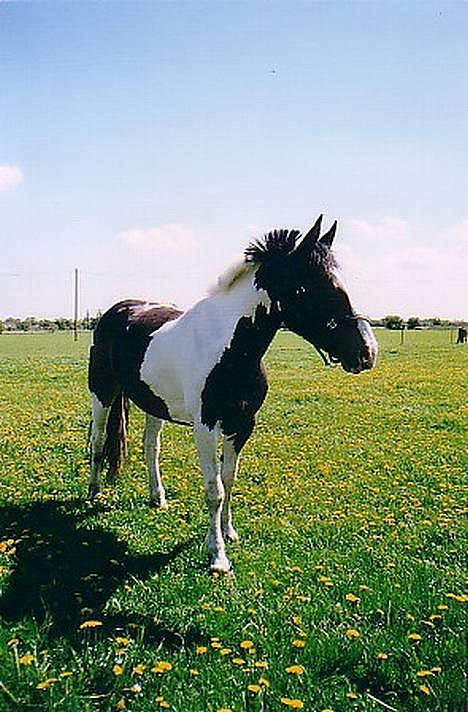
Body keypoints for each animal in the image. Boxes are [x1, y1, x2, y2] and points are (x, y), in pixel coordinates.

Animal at [88, 216, 378, 572]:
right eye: (309, 286)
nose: (367, 351)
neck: (229, 349)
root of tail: (119, 310)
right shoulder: (205, 428)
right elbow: (214, 489)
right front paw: (217, 556)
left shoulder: (241, 425)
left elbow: (229, 479)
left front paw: (229, 532)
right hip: (102, 394)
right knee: (98, 441)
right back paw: (93, 493)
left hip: (155, 404)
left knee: (150, 448)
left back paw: (158, 498)